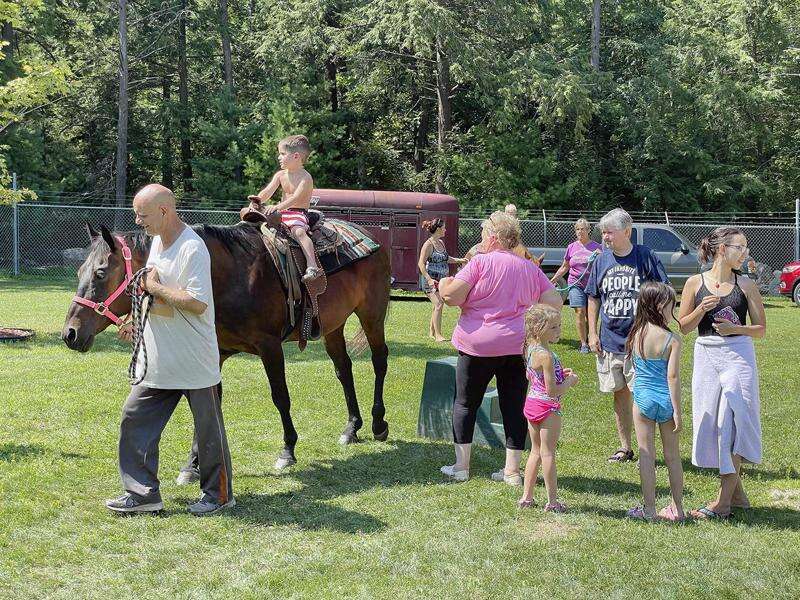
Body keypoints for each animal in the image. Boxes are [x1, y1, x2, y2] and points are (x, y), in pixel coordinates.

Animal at [62, 223, 390, 472]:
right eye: (79, 271)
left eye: (101, 273)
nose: (70, 333)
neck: (228, 278)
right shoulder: (215, 353)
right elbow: (208, 405)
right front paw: (193, 464)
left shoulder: (270, 347)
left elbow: (280, 397)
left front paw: (287, 450)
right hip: (333, 326)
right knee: (344, 369)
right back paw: (352, 427)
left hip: (372, 315)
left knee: (380, 361)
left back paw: (378, 423)